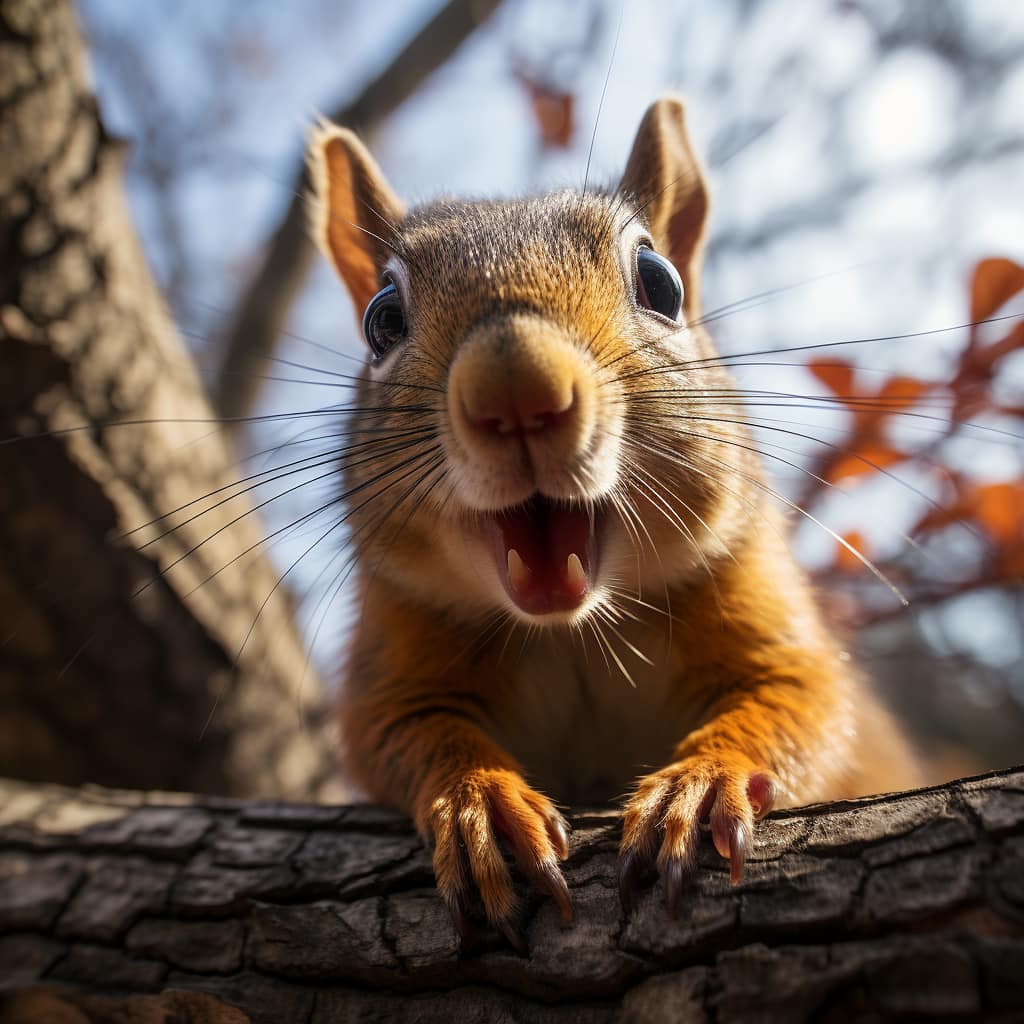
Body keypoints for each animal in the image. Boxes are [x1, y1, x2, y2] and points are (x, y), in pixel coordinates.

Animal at [307, 95, 923, 943]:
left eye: (660, 283)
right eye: (382, 317)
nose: (515, 388)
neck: (576, 638)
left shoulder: (763, 613)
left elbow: (803, 702)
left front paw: (700, 784)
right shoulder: (396, 658)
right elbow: (403, 733)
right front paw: (479, 804)